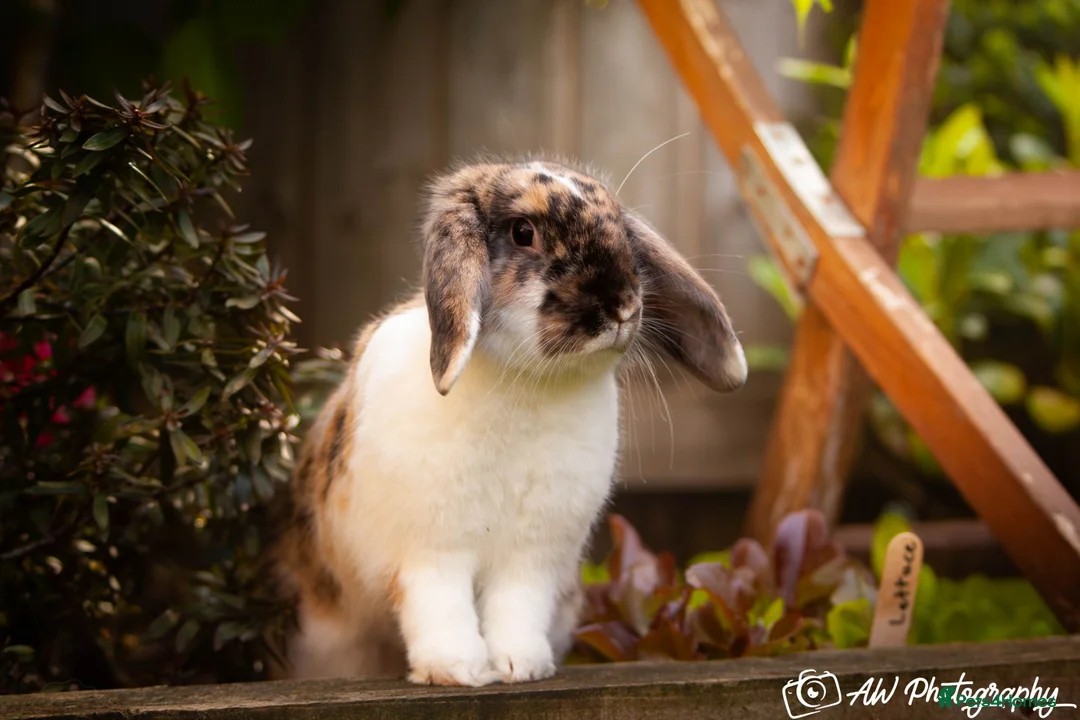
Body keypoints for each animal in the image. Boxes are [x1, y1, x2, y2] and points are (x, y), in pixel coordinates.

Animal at [269, 158, 747, 687]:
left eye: (622, 230)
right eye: (523, 232)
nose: (622, 304)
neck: (528, 383)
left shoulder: (532, 558)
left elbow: (517, 608)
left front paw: (522, 666)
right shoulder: (429, 555)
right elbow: (440, 608)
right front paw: (456, 670)